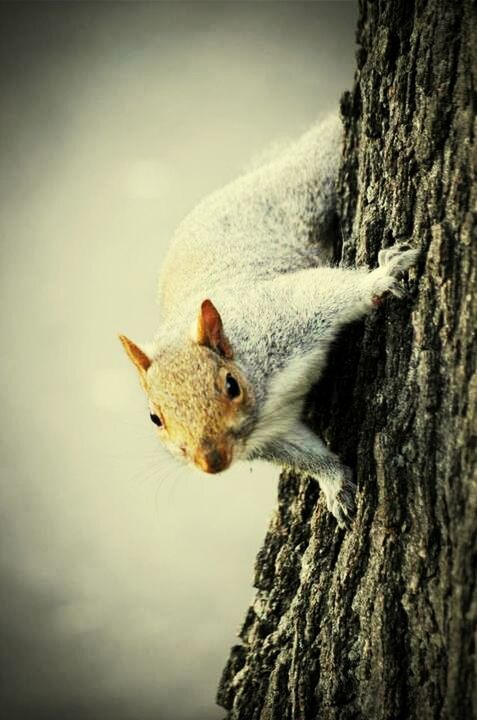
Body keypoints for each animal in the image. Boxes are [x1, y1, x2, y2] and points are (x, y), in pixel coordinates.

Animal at [118, 114, 416, 528]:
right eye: (154, 418)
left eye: (231, 386)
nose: (211, 462)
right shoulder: (271, 437)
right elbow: (303, 455)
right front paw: (334, 483)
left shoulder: (284, 316)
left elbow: (331, 290)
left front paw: (381, 278)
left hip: (304, 186)